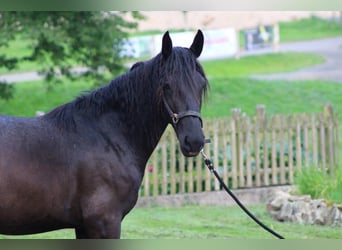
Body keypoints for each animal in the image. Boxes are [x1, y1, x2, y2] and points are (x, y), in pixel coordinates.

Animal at [0, 29, 208, 238]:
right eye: (166, 85)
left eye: (201, 85)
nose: (194, 141)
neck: (108, 136)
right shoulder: (104, 222)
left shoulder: (83, 226)